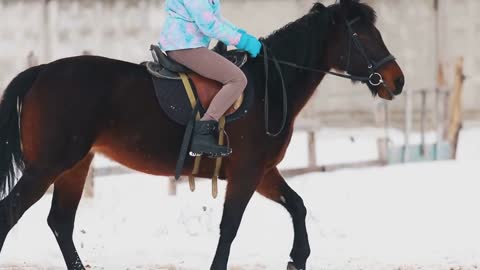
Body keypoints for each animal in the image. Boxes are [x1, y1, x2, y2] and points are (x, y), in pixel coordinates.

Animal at [0, 1, 404, 268]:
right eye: (361, 34)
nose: (397, 81)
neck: (269, 86)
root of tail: (40, 71)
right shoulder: (246, 174)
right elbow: (230, 227)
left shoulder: (263, 173)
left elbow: (297, 205)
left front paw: (297, 258)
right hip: (48, 166)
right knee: (12, 212)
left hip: (75, 166)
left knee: (60, 223)